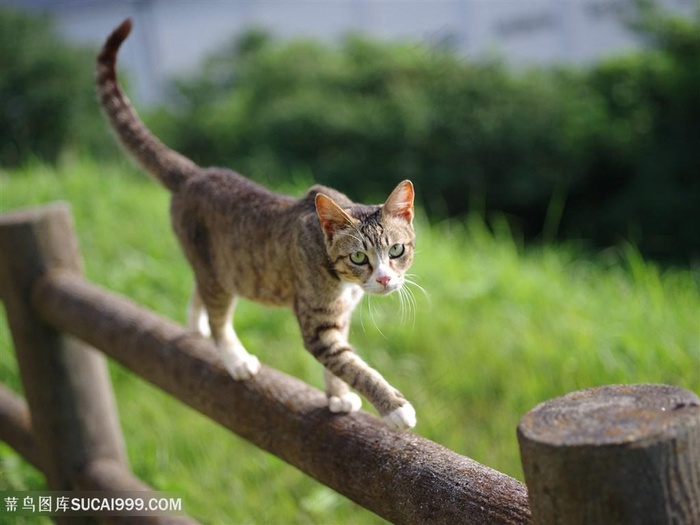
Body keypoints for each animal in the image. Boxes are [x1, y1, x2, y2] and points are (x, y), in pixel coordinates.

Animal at [97, 19, 416, 430]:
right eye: (359, 258)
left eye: (396, 250)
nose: (385, 279)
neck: (340, 277)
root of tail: (196, 174)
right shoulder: (318, 322)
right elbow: (349, 362)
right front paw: (394, 406)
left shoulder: (340, 316)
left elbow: (338, 363)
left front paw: (337, 397)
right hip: (217, 271)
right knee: (219, 316)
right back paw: (234, 358)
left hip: (219, 270)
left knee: (200, 293)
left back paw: (196, 325)